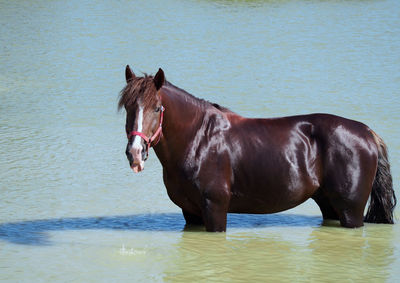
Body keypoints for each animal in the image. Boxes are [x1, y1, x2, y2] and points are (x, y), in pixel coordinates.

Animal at [117, 66, 396, 233]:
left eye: (157, 108)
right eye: (128, 107)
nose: (135, 153)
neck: (198, 140)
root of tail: (368, 133)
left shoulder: (215, 209)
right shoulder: (191, 212)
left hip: (351, 211)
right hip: (329, 205)